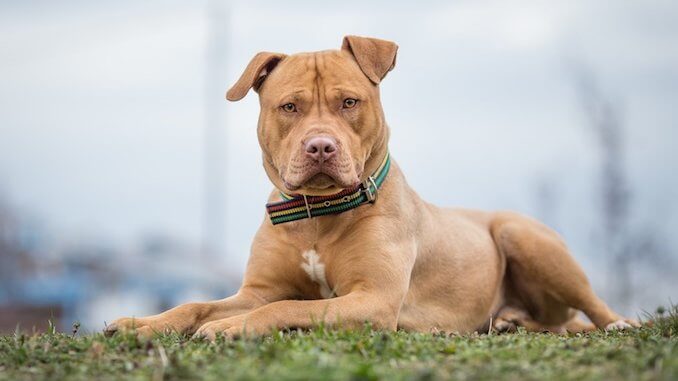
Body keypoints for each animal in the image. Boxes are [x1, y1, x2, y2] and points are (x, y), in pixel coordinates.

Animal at [103, 35, 640, 338]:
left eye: (349, 102)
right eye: (289, 107)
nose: (321, 146)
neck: (318, 214)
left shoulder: (373, 299)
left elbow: (285, 307)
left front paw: (231, 327)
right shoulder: (257, 288)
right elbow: (199, 303)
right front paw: (141, 324)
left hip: (521, 234)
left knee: (591, 307)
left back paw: (618, 323)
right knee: (557, 321)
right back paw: (513, 321)